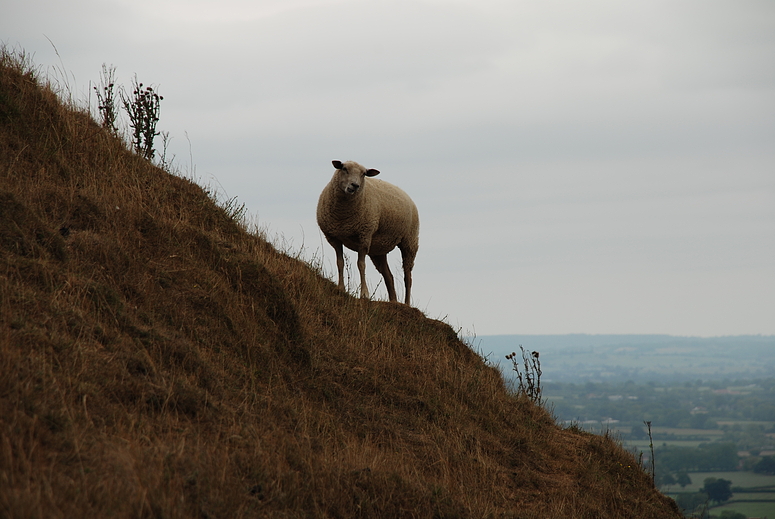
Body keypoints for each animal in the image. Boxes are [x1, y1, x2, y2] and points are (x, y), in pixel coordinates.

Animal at [318, 159, 422, 304]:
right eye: (344, 169)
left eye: (364, 174)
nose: (355, 185)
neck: (343, 217)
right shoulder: (334, 238)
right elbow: (340, 263)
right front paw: (341, 288)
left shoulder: (364, 237)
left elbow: (361, 265)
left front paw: (364, 294)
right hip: (378, 249)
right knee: (389, 276)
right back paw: (393, 301)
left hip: (409, 241)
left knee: (408, 276)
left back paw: (406, 303)